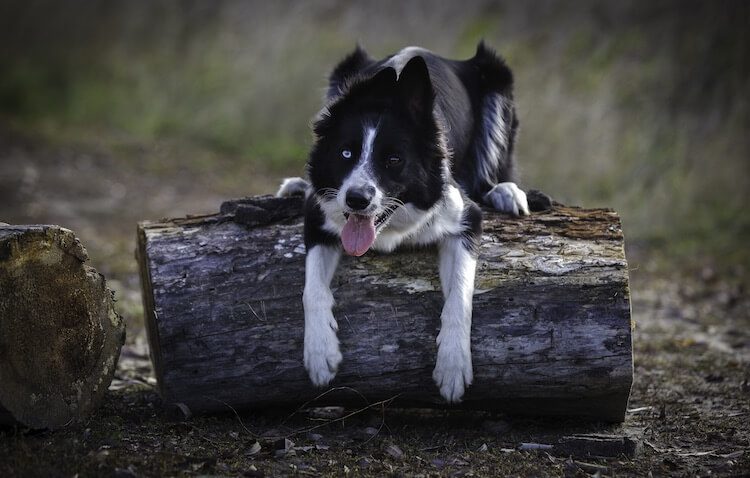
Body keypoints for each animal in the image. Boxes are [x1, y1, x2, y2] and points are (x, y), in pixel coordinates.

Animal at [280, 42, 536, 404]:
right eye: (346, 154)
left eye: (393, 160)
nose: (356, 199)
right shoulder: (318, 216)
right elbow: (312, 289)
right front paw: (320, 353)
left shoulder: (465, 218)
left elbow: (460, 296)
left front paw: (453, 366)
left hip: (496, 79)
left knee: (495, 171)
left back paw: (505, 190)